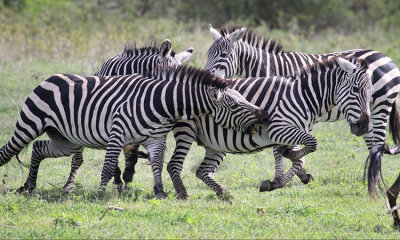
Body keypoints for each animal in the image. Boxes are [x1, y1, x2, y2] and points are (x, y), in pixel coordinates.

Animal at [1, 64, 268, 198]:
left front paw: (160, 192)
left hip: (66, 140)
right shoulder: (117, 133)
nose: (263, 115)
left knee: (38, 148)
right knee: (8, 151)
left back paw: (28, 187)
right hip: (29, 124)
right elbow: (109, 165)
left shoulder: (156, 137)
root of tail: (51, 76)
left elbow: (157, 163)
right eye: (234, 105)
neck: (161, 103)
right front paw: (100, 193)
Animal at [164, 56, 374, 199]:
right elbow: (310, 146)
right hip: (186, 131)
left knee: (202, 171)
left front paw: (277, 180)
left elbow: (298, 160)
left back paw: (223, 193)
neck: (304, 96)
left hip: (215, 144)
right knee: (174, 164)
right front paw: (284, 166)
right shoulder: (278, 129)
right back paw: (182, 194)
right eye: (356, 89)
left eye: (371, 92)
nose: (363, 127)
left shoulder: (291, 131)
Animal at [203, 24, 400, 197]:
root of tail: (388, 58)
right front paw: (295, 175)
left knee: (378, 145)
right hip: (368, 115)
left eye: (223, 54)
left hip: (379, 107)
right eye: (207, 54)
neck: (272, 69)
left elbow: (284, 149)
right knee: (373, 144)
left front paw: (290, 175)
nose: (206, 78)